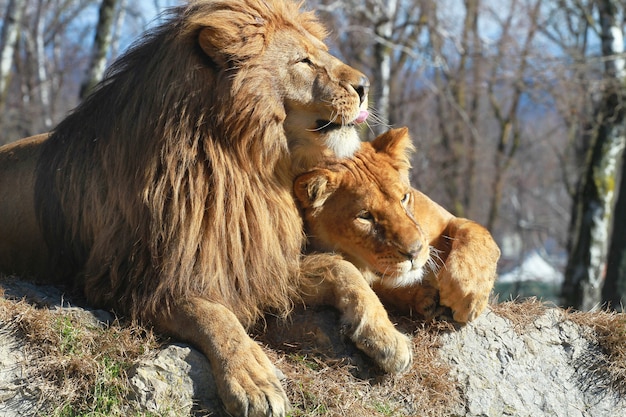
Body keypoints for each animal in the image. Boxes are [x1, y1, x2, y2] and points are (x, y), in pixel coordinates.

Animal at [0, 1, 410, 414]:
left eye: (321, 52)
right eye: (304, 61)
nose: (365, 86)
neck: (247, 167)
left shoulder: (257, 262)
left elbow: (340, 267)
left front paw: (388, 337)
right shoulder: (134, 284)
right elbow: (214, 315)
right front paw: (254, 381)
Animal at [294, 127, 502, 322]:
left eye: (404, 197)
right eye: (365, 216)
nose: (415, 253)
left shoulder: (447, 219)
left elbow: (475, 232)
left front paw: (466, 292)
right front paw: (424, 298)